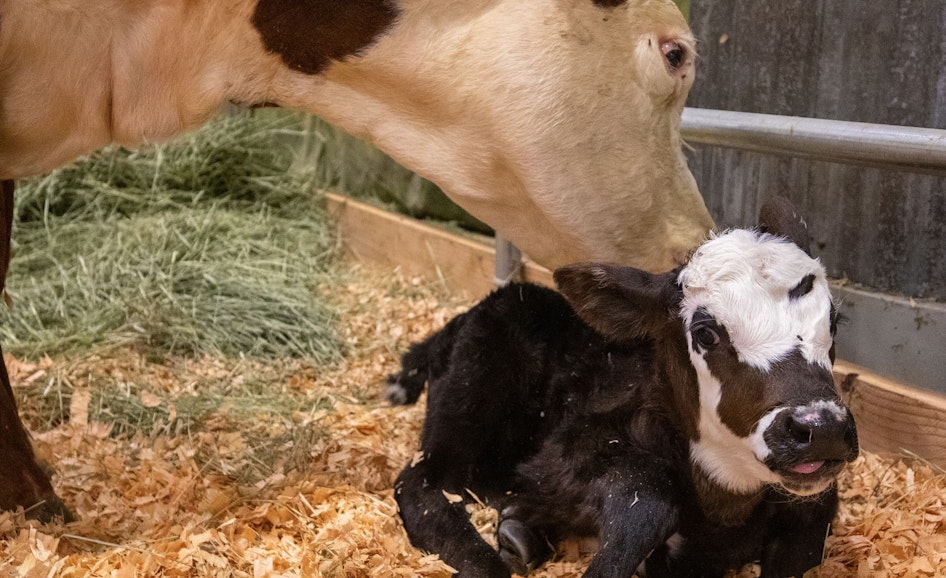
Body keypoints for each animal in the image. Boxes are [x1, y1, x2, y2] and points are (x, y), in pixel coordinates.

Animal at [388, 197, 858, 577]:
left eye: (833, 322)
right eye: (705, 333)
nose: (822, 429)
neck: (721, 513)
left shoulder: (812, 506)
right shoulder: (562, 453)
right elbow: (646, 493)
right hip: (471, 388)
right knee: (422, 482)